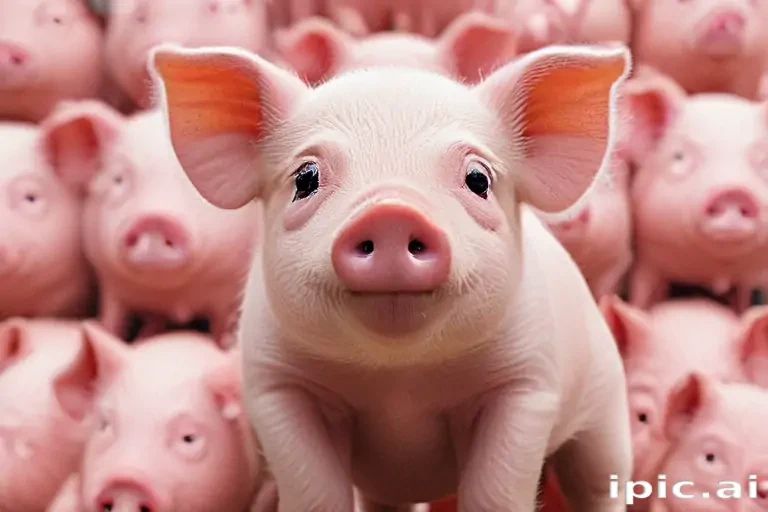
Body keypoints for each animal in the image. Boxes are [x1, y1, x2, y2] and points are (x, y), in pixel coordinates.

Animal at [41, 100, 261, 346]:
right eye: (118, 178)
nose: (155, 219)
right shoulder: (111, 285)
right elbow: (112, 319)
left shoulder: (229, 291)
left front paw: (226, 345)